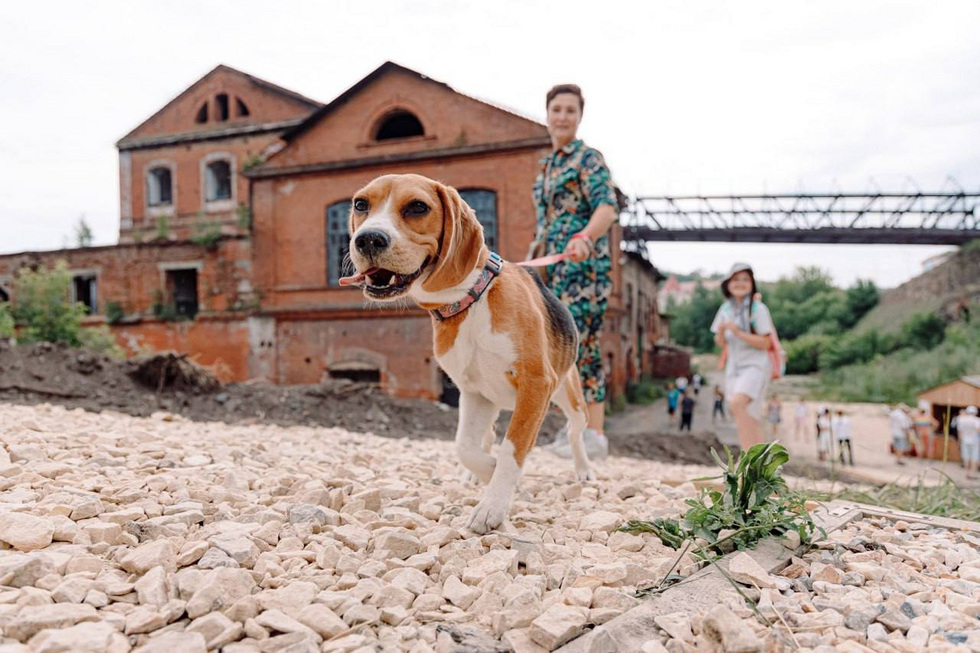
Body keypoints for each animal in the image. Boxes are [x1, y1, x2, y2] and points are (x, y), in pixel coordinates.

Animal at [340, 174, 592, 536]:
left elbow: (512, 449)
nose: (368, 239)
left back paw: (583, 469)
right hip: (494, 400)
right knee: (485, 437)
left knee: (574, 431)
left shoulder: (535, 385)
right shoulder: (473, 393)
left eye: (418, 207)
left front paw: (492, 505)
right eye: (361, 204)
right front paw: (486, 471)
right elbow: (465, 447)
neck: (469, 298)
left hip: (568, 395)